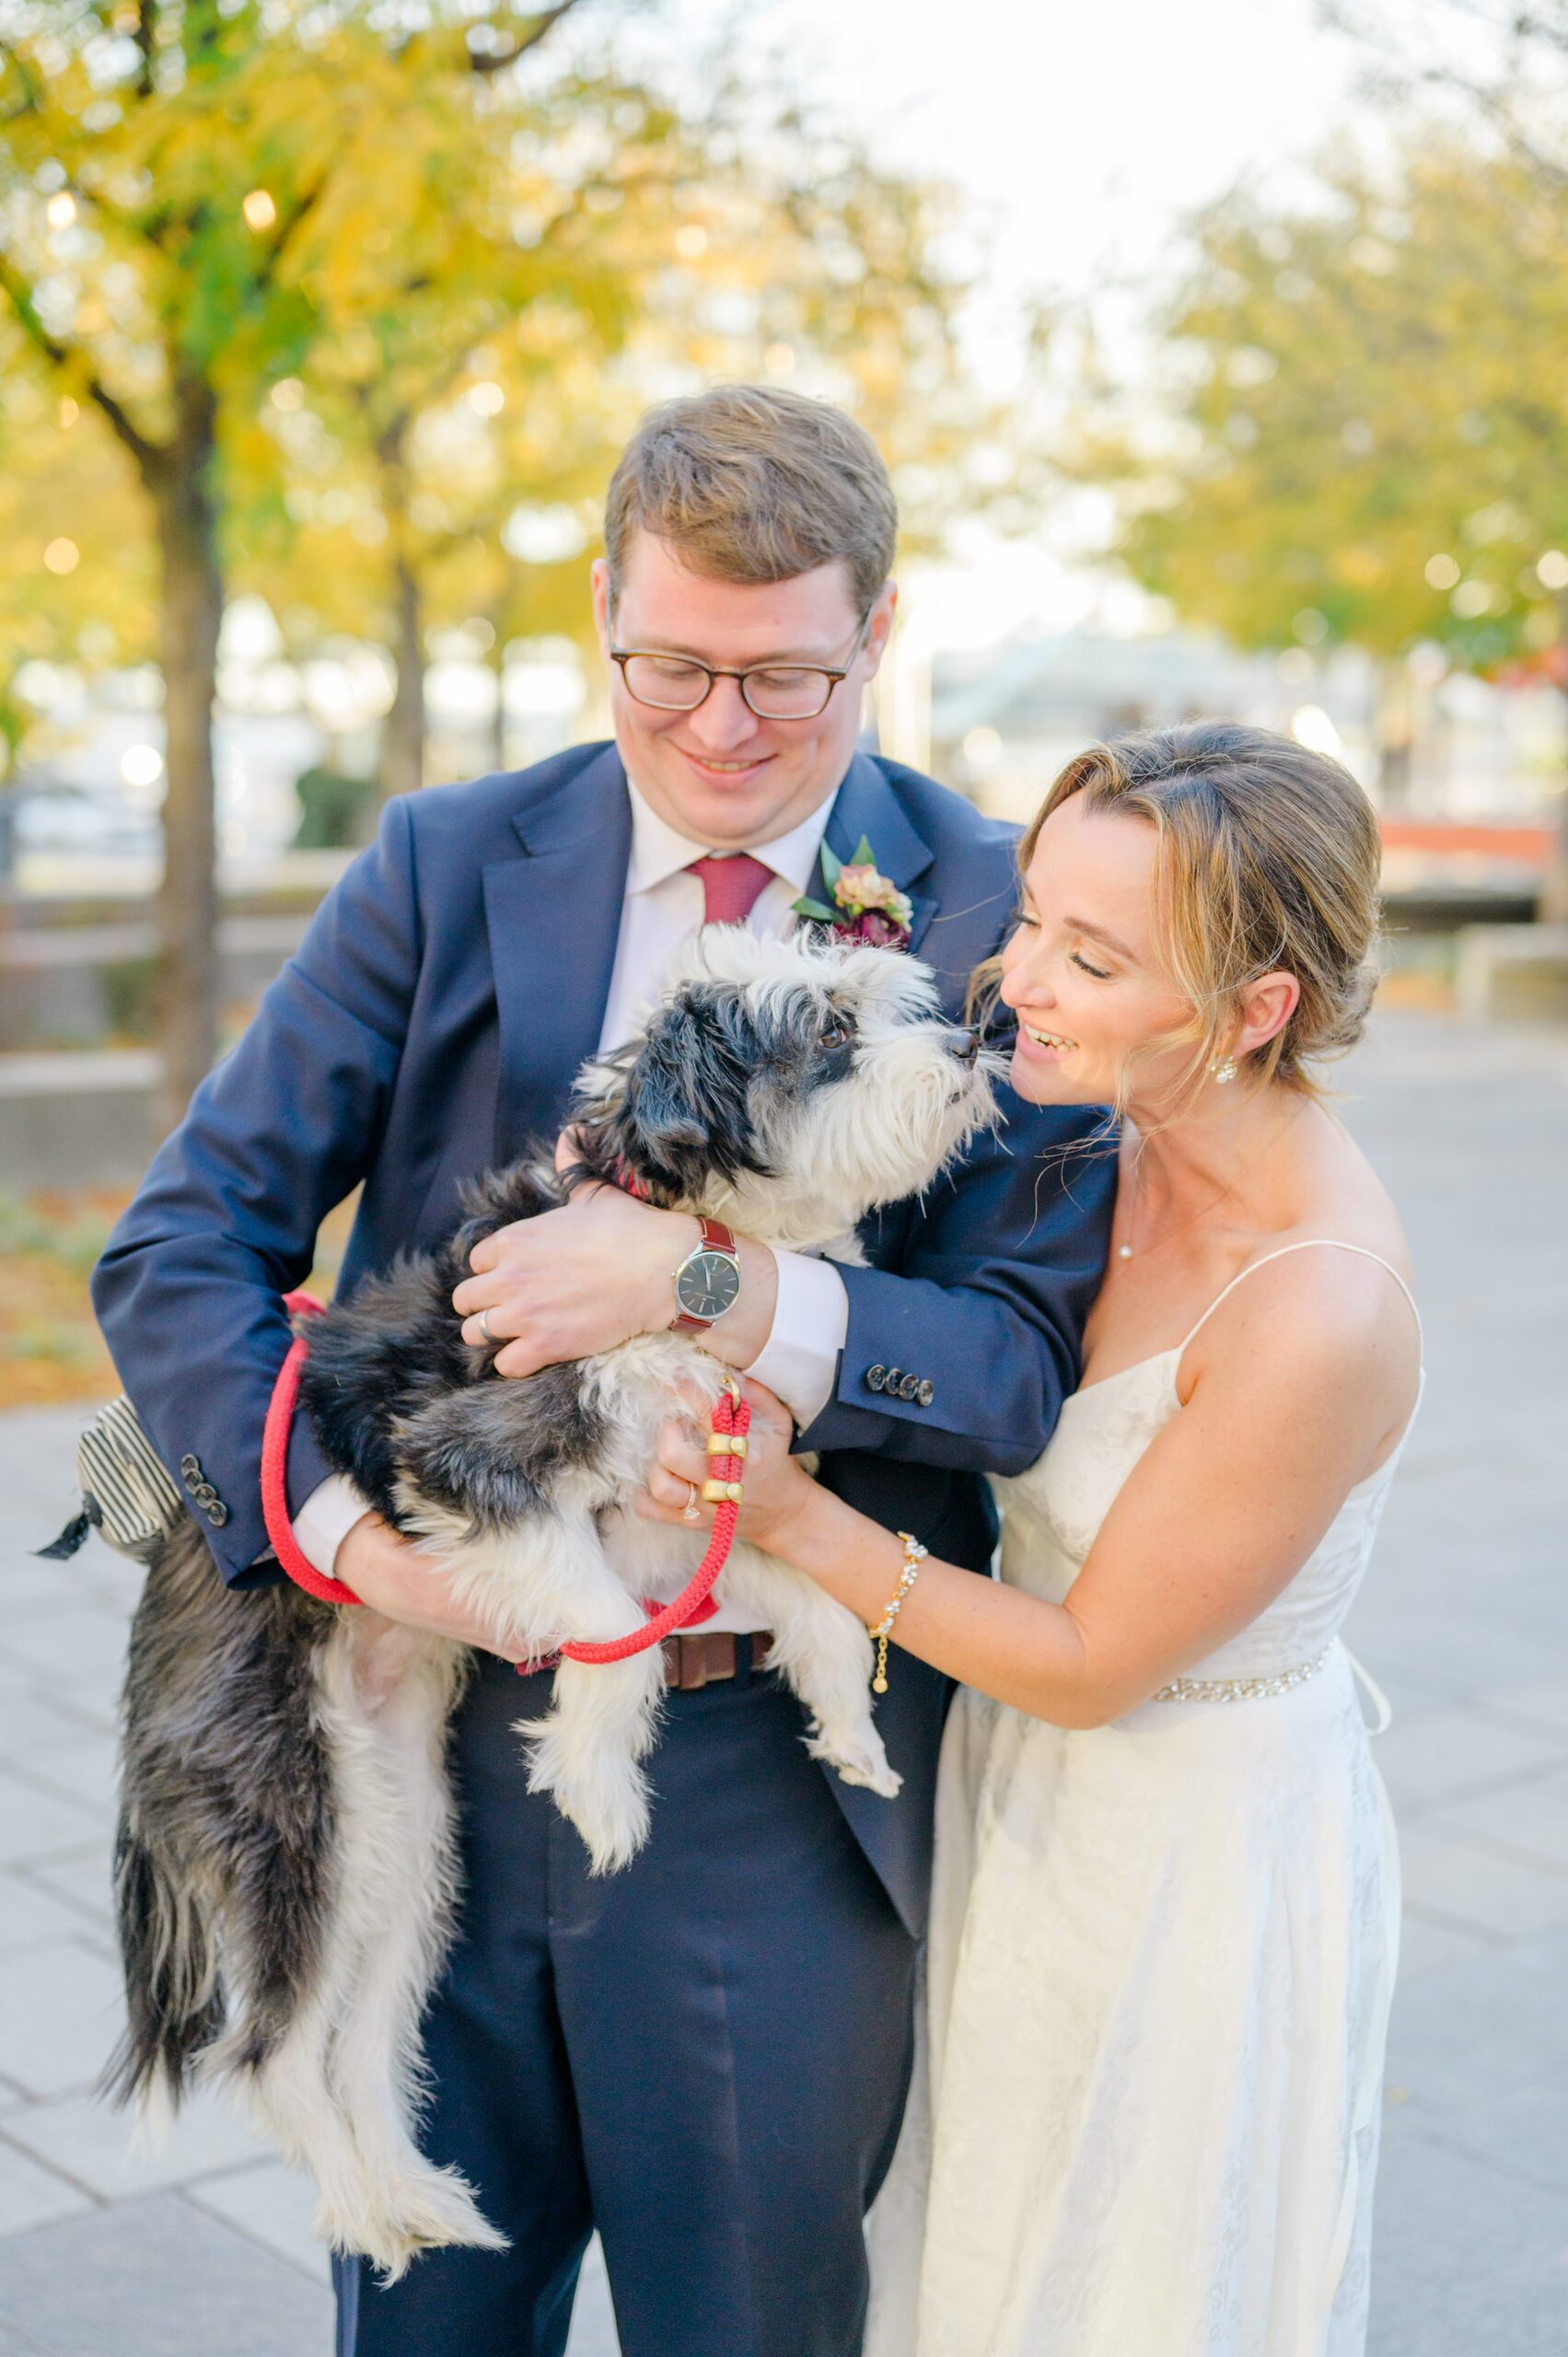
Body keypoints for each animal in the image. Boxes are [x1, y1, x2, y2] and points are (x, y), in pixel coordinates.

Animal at [110, 928, 994, 2271]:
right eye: (831, 1032)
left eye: (898, 1003)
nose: (974, 1043)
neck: (687, 1243)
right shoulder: (469, 1462)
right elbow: (617, 1648)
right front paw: (598, 1789)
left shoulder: (677, 1513)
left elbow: (813, 1605)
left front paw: (845, 1728)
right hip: (288, 1821)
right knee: (270, 2054)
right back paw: (358, 2206)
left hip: (404, 1842)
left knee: (362, 2039)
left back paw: (411, 2199)